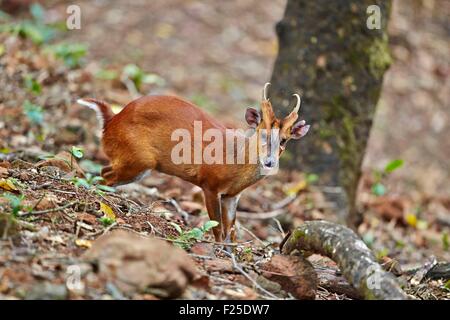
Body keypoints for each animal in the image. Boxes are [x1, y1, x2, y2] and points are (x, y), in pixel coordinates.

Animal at [77, 84, 310, 244]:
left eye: (284, 140)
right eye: (262, 134)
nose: (270, 162)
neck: (235, 162)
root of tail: (110, 121)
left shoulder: (232, 196)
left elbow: (231, 230)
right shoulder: (210, 184)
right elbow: (217, 227)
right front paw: (219, 250)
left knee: (104, 171)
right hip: (139, 157)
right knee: (105, 174)